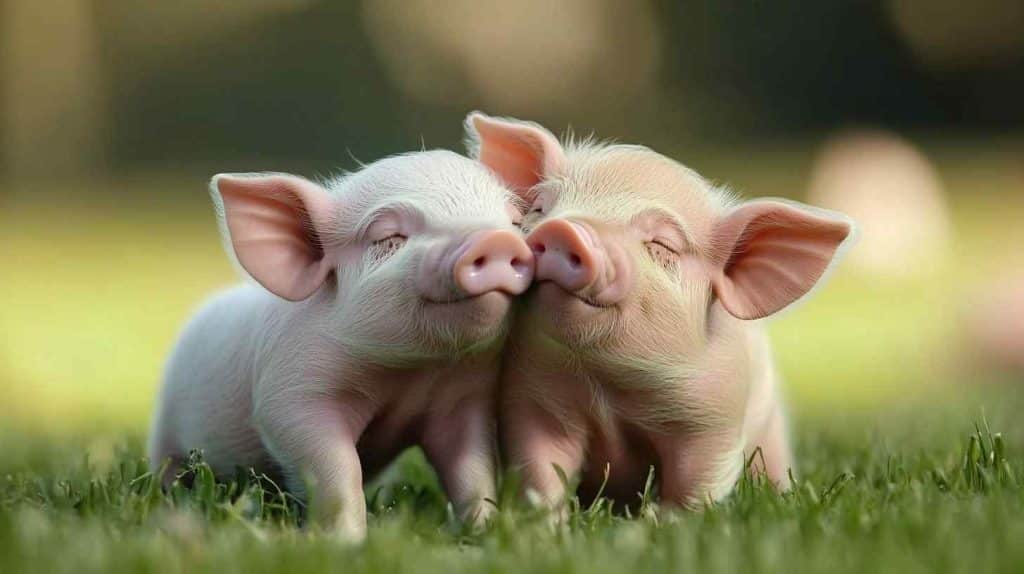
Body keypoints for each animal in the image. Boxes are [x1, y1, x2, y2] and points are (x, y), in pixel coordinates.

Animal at [147, 150, 534, 540]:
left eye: (516, 223)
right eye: (390, 236)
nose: (495, 240)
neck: (408, 374)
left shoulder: (462, 400)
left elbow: (472, 468)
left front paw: (487, 531)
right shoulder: (290, 390)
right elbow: (336, 464)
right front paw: (346, 541)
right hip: (166, 430)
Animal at [465, 113, 853, 511]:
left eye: (662, 245)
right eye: (541, 209)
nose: (564, 229)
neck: (606, 383)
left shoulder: (713, 418)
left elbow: (695, 481)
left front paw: (660, 517)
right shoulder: (537, 400)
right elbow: (542, 466)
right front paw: (544, 519)